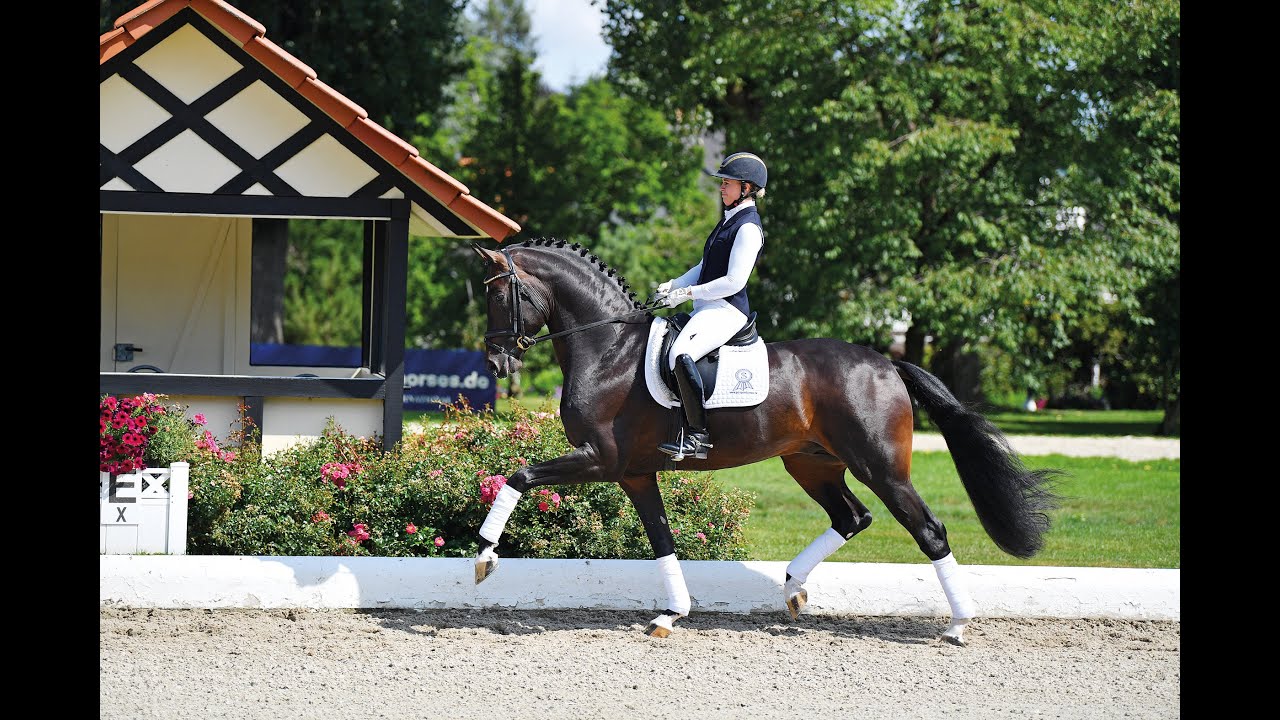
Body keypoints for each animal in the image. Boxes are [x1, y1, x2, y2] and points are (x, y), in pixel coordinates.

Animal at [469, 238, 1062, 644]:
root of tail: (886, 363)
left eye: (498, 295)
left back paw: (958, 624)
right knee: (852, 517)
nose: (497, 362)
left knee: (928, 530)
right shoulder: (634, 473)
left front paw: (485, 555)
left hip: (882, 468)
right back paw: (793, 586)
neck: (608, 349)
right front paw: (672, 614)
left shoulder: (599, 460)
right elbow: (661, 539)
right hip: (812, 464)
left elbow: (520, 475)